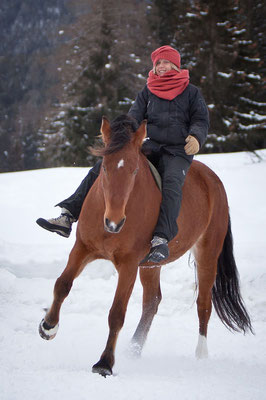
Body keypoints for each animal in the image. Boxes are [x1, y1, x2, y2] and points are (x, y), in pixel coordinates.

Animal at [38, 114, 252, 376]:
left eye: (135, 170)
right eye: (104, 167)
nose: (114, 222)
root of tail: (214, 181)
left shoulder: (129, 265)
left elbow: (117, 313)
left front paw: (105, 363)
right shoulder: (82, 249)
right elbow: (62, 285)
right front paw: (48, 326)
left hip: (207, 254)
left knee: (203, 304)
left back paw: (200, 355)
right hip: (151, 265)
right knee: (152, 301)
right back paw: (134, 349)